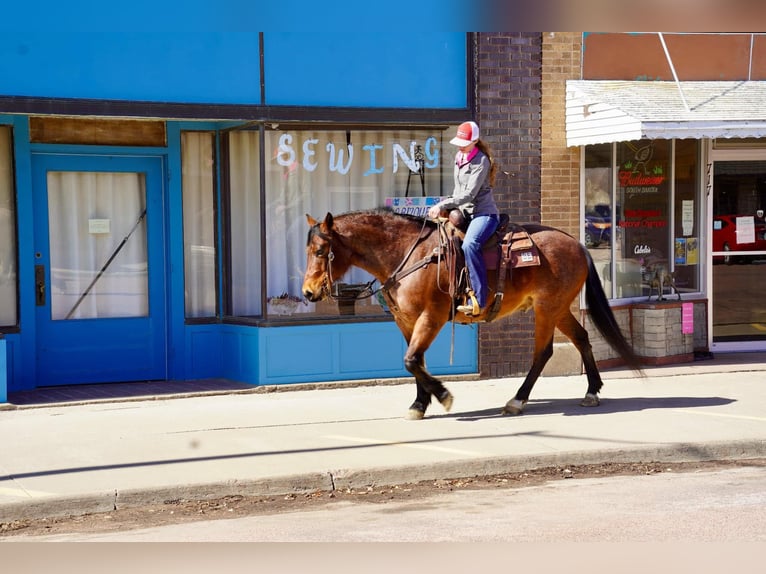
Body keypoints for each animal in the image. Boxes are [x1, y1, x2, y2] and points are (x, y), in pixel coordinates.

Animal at [300, 209, 640, 420]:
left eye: (320, 251)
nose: (307, 292)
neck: (408, 253)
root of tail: (578, 245)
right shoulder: (405, 321)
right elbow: (416, 361)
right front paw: (419, 404)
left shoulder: (432, 317)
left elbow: (411, 360)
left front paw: (443, 395)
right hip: (558, 308)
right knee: (581, 337)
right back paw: (592, 391)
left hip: (548, 308)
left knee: (543, 352)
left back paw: (517, 400)